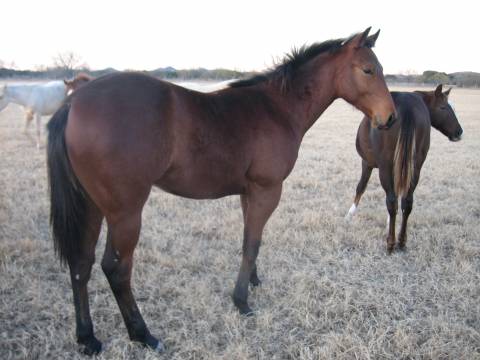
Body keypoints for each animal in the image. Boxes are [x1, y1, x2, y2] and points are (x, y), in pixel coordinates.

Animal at [47, 28, 396, 354]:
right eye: (368, 70)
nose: (390, 118)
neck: (277, 108)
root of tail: (74, 101)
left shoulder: (248, 192)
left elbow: (250, 240)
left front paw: (253, 281)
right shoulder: (267, 191)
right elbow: (251, 244)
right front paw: (241, 301)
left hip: (92, 207)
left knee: (81, 264)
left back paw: (88, 338)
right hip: (125, 213)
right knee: (116, 270)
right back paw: (143, 334)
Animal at [346, 85, 464, 252]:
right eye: (443, 107)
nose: (459, 132)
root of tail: (408, 105)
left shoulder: (367, 163)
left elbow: (361, 187)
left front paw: (349, 215)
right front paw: (389, 222)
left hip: (385, 167)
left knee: (392, 201)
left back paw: (391, 242)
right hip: (415, 167)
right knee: (407, 202)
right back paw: (401, 241)